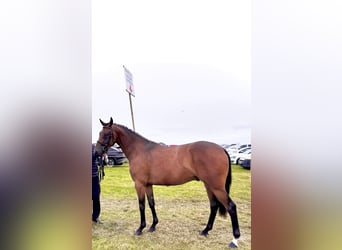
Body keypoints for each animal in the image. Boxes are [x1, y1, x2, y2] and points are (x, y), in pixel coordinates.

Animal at [93, 117, 240, 248]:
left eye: (107, 134)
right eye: (100, 133)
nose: (97, 152)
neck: (140, 150)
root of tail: (221, 149)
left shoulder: (139, 184)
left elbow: (142, 205)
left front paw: (140, 229)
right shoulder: (148, 185)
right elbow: (151, 203)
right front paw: (153, 226)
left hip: (217, 187)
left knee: (231, 207)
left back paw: (234, 240)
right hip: (208, 185)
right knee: (214, 206)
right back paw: (205, 231)